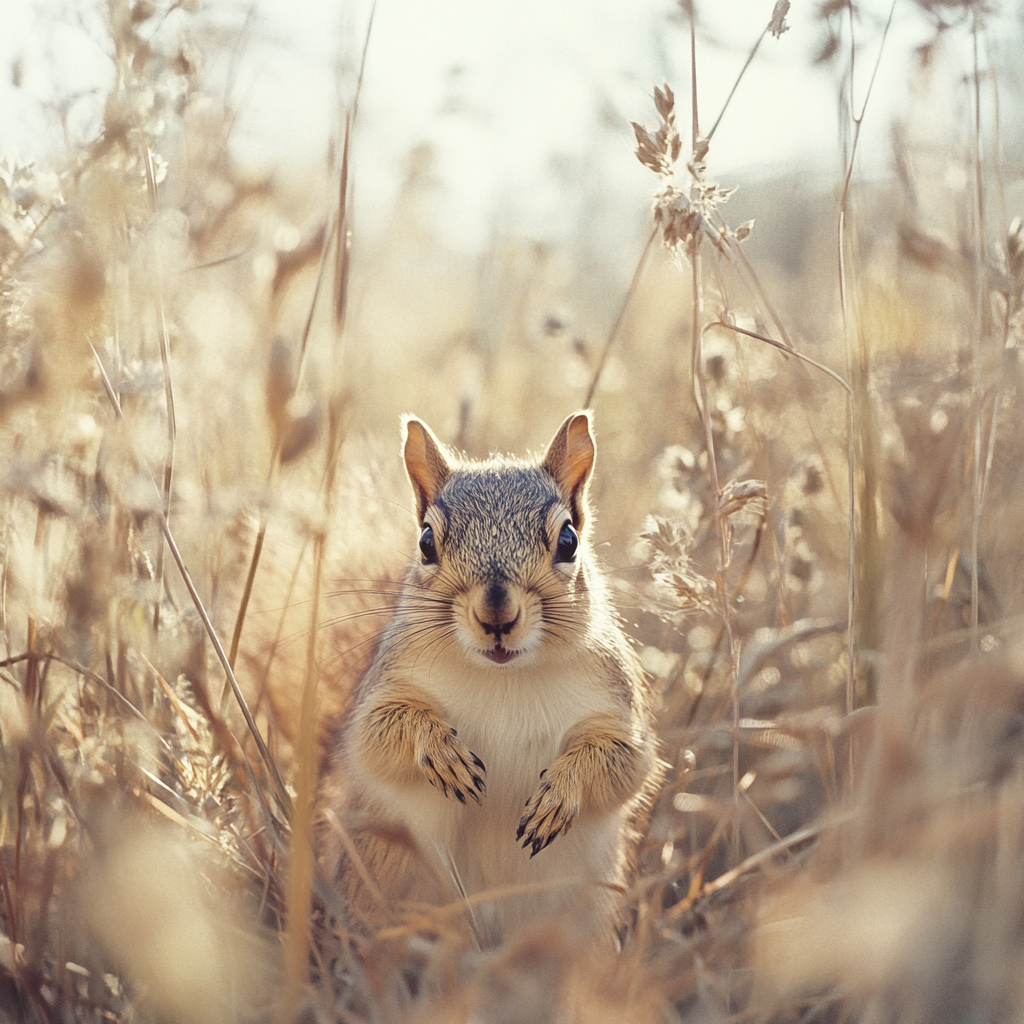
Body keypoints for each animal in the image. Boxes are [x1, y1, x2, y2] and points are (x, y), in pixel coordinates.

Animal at [321, 411, 663, 946]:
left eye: (569, 541)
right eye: (425, 542)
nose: (496, 615)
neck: (504, 676)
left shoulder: (617, 704)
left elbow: (625, 763)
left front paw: (558, 795)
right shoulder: (382, 692)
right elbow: (378, 737)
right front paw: (443, 754)